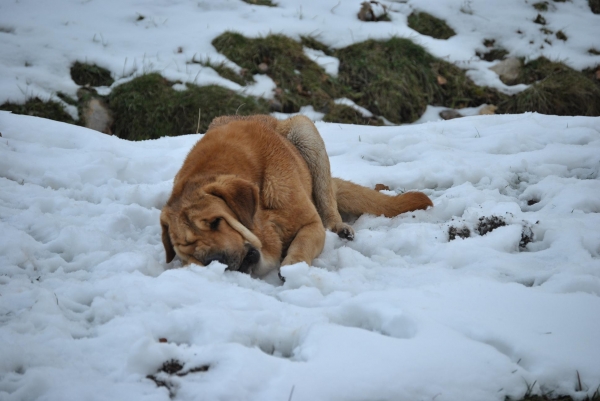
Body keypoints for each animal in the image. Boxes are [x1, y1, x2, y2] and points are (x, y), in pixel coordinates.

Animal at [159, 114, 432, 276]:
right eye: (186, 248)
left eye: (216, 221)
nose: (215, 260)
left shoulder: (310, 224)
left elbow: (303, 241)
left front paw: (293, 265)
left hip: (304, 131)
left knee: (328, 206)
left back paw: (340, 227)